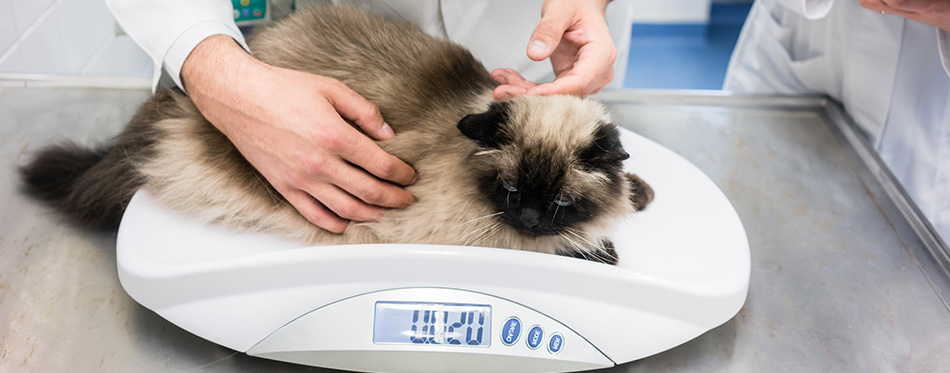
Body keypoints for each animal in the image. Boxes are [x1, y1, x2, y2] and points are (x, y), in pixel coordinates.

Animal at [18, 4, 656, 264]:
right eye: (514, 193)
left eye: (560, 202)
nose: (528, 219)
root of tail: (179, 102)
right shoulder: (476, 233)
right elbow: (573, 247)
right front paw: (603, 249)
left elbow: (628, 186)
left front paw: (640, 196)